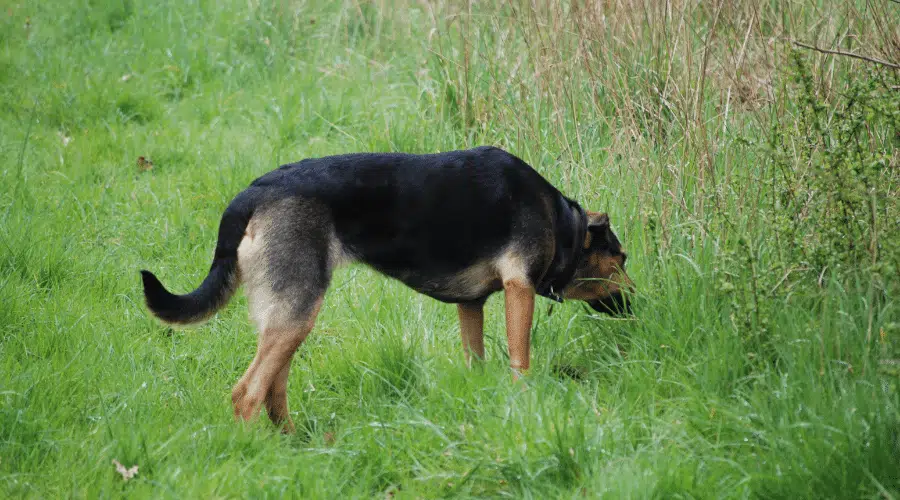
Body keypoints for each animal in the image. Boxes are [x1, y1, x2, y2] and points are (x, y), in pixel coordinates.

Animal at [141, 145, 632, 430]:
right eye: (622, 260)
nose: (638, 304)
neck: (563, 224)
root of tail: (251, 194)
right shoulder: (519, 290)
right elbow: (520, 364)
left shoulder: (471, 304)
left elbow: (476, 361)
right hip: (297, 310)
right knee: (247, 395)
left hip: (287, 315)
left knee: (272, 389)